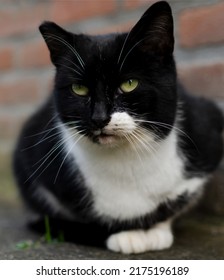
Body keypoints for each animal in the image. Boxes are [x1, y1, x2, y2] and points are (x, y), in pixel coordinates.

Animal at [13, 0, 223, 254]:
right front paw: (127, 236)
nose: (99, 117)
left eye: (129, 83)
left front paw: (156, 232)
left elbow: (172, 206)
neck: (127, 162)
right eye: (79, 88)